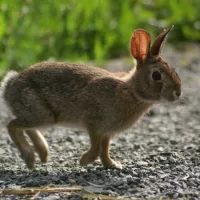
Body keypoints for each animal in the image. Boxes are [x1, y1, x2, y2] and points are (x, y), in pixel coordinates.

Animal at [0, 24, 181, 169]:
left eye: (173, 70)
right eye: (156, 75)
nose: (178, 93)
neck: (131, 91)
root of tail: (9, 85)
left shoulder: (107, 132)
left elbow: (105, 151)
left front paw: (113, 165)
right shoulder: (94, 124)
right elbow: (96, 149)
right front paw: (83, 161)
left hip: (43, 117)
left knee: (26, 127)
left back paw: (42, 154)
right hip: (43, 114)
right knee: (12, 125)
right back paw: (30, 158)